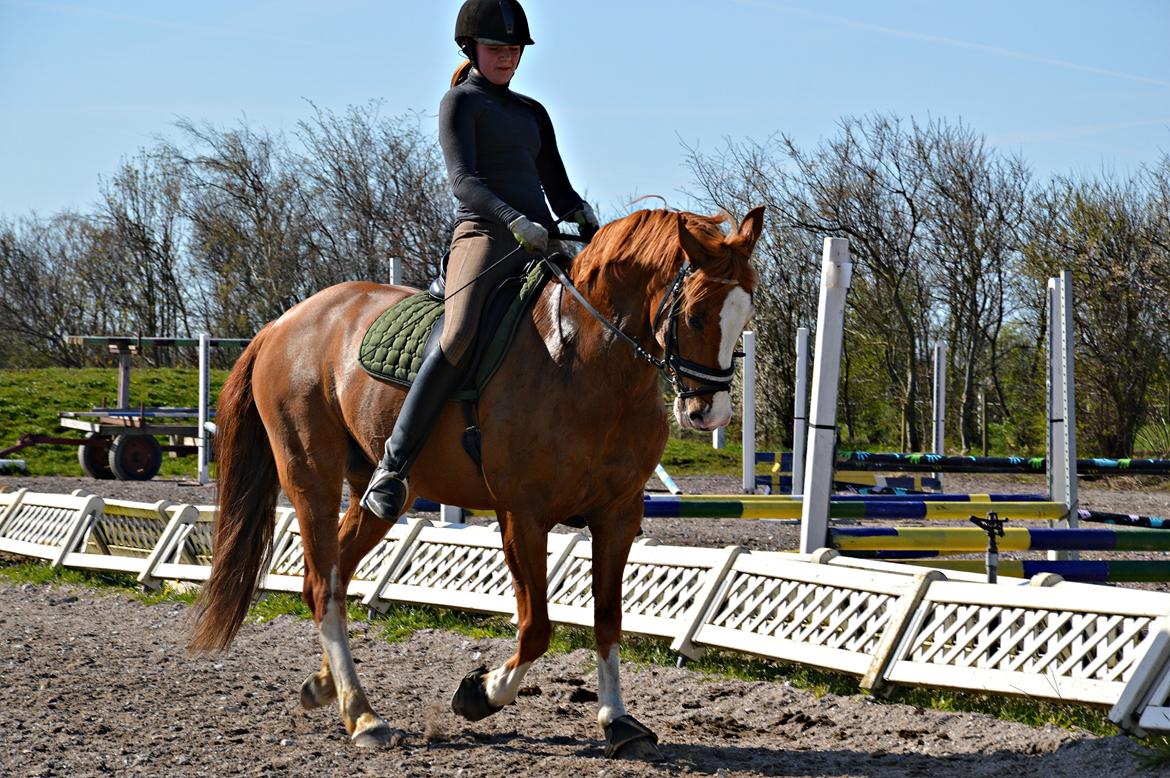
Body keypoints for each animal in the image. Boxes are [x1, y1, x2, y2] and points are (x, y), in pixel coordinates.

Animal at [187, 204, 762, 758]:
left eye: (746, 315)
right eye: (694, 315)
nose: (709, 413)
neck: (588, 363)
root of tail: (283, 323)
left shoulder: (618, 515)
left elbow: (607, 618)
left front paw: (618, 722)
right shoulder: (522, 515)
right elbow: (536, 628)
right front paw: (480, 694)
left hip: (378, 494)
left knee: (330, 576)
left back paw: (327, 688)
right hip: (311, 478)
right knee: (324, 584)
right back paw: (364, 717)